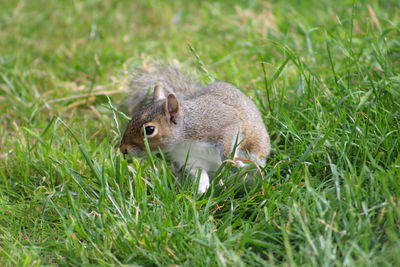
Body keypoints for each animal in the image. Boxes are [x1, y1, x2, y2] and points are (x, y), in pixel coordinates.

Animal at [118, 63, 268, 194]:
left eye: (149, 130)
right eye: (133, 117)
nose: (123, 149)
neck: (183, 139)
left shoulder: (223, 123)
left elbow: (228, 143)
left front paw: (232, 162)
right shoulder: (189, 160)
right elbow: (199, 176)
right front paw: (201, 194)